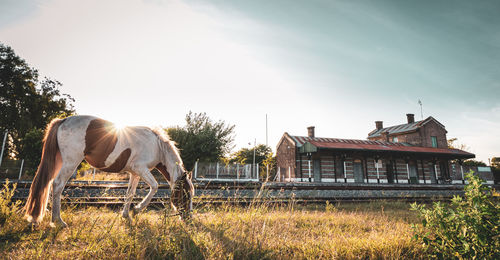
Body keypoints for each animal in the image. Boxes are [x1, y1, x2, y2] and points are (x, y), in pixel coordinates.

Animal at [24, 116, 194, 228]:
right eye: (186, 194)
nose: (188, 218)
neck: (157, 146)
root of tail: (63, 121)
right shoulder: (141, 169)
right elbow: (155, 186)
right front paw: (137, 209)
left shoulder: (135, 173)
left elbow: (130, 194)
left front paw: (127, 216)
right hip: (70, 162)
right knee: (58, 185)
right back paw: (58, 221)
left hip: (59, 161)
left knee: (48, 184)